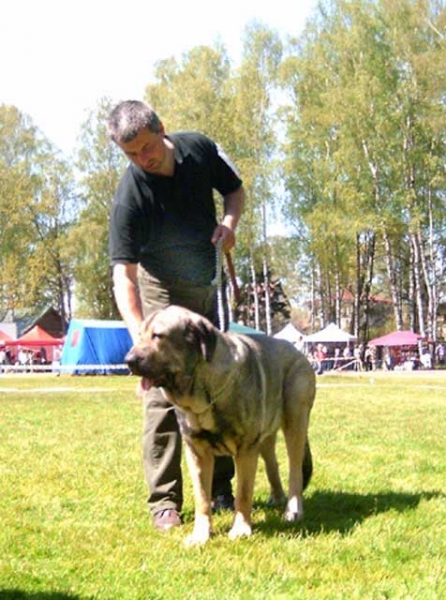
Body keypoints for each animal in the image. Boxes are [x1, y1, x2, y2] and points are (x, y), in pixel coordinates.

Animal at [123, 308, 316, 548]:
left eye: (158, 336)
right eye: (139, 336)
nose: (128, 360)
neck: (202, 390)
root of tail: (296, 350)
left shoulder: (246, 450)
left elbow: (243, 493)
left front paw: (241, 530)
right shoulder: (197, 453)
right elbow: (202, 498)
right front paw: (200, 535)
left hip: (295, 421)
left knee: (295, 470)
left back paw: (293, 510)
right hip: (265, 436)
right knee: (273, 464)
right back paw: (277, 497)